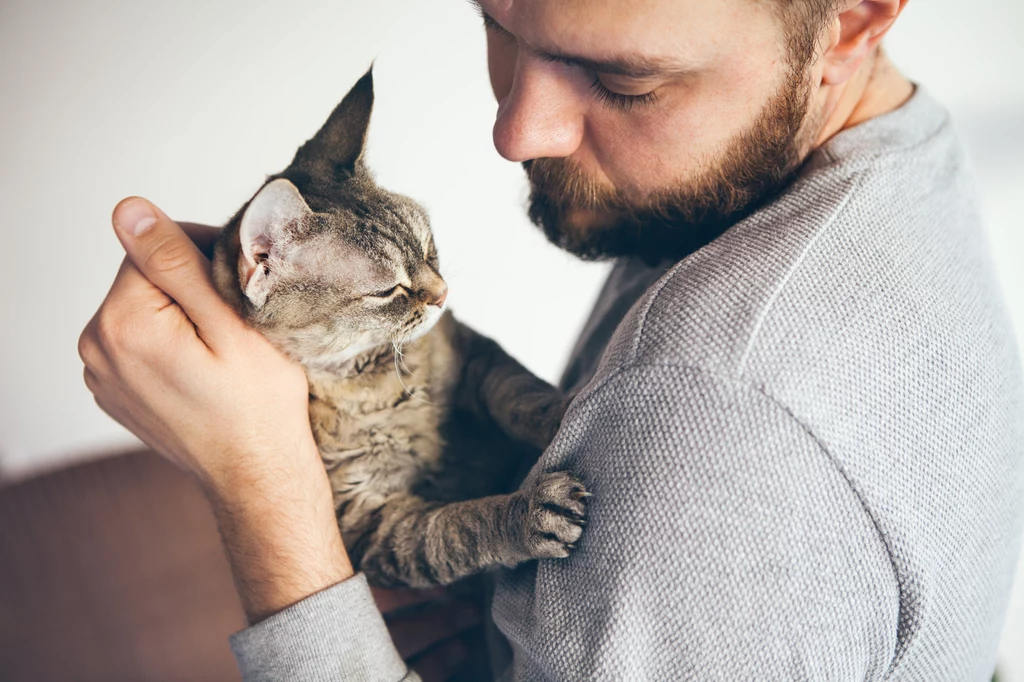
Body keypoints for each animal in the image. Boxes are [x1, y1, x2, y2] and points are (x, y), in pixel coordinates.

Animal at [211, 70, 589, 589]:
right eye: (388, 289)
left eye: (429, 248)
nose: (443, 293)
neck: (382, 378)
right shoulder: (373, 519)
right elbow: (458, 528)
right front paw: (526, 512)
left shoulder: (475, 355)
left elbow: (522, 394)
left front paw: (564, 409)